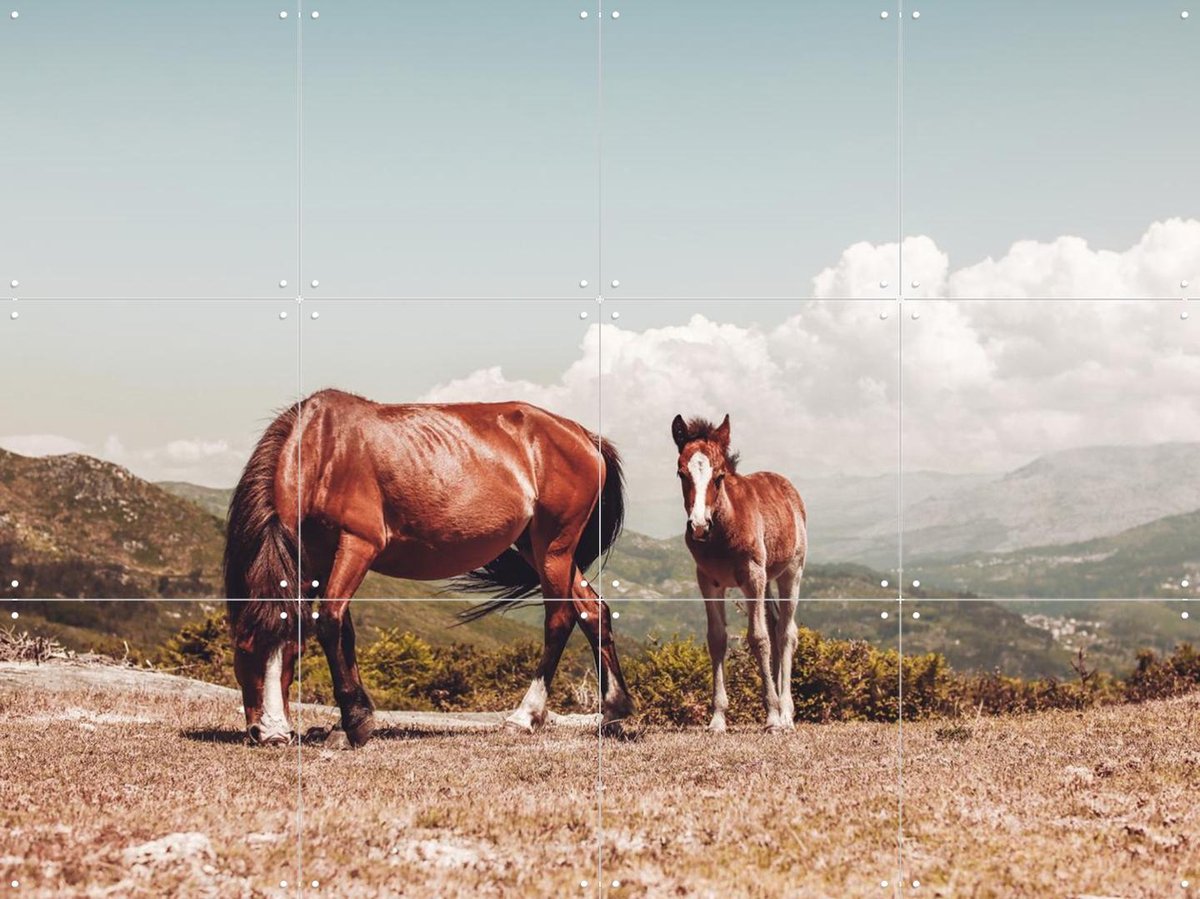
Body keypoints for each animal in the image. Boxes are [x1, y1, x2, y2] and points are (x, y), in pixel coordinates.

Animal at [224, 388, 633, 748]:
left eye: (293, 654)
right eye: (242, 649)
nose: (272, 734)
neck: (324, 448)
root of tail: (584, 436)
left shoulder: (358, 543)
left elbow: (329, 620)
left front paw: (352, 724)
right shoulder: (320, 555)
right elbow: (343, 629)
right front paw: (353, 720)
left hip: (554, 547)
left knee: (560, 619)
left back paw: (525, 716)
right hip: (536, 547)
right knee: (593, 611)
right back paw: (614, 711)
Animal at [671, 414, 807, 733]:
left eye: (719, 475)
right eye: (681, 474)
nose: (699, 526)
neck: (724, 528)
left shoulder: (752, 577)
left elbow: (758, 638)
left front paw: (772, 717)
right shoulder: (708, 582)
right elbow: (717, 639)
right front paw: (718, 718)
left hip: (791, 572)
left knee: (786, 633)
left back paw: (786, 713)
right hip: (767, 579)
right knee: (775, 624)